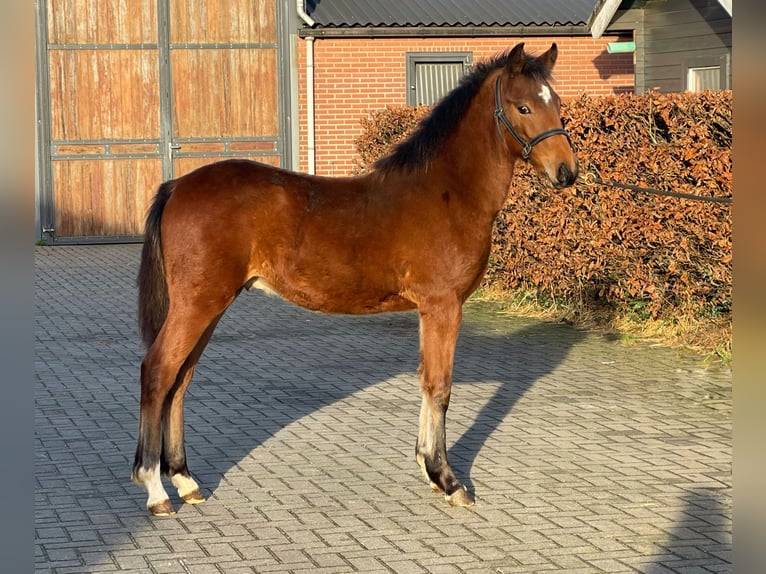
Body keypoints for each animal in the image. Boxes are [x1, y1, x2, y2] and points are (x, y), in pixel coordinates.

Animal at [134, 41, 576, 516]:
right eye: (523, 106)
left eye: (558, 103)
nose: (567, 172)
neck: (448, 192)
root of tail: (177, 186)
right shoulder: (443, 306)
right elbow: (440, 387)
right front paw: (448, 479)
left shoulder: (429, 310)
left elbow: (426, 381)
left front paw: (429, 469)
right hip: (198, 305)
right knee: (158, 372)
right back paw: (155, 488)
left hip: (210, 306)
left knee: (180, 379)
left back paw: (184, 480)